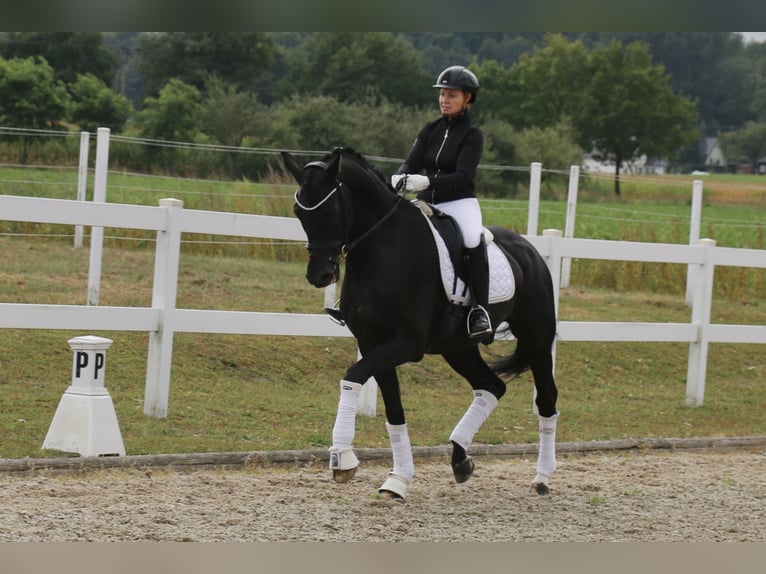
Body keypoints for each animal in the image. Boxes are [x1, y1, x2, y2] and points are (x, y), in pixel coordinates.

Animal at [283, 147, 559, 499]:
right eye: (298, 211)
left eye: (329, 209)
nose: (319, 276)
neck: (382, 247)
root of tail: (529, 250)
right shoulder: (373, 344)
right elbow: (393, 410)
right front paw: (397, 478)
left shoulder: (406, 344)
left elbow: (353, 376)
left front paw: (342, 457)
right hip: (458, 348)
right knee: (491, 386)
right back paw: (460, 460)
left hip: (537, 338)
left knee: (546, 399)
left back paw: (542, 478)